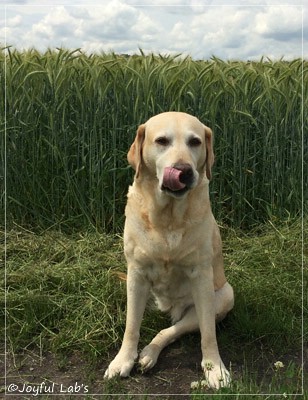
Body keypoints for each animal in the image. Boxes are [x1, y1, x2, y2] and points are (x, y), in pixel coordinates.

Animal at [104, 111, 235, 390]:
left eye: (195, 142)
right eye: (162, 141)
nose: (183, 171)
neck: (168, 218)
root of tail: (169, 308)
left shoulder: (201, 277)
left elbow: (208, 334)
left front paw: (215, 369)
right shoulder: (136, 275)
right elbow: (131, 326)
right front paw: (123, 360)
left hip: (224, 295)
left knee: (172, 330)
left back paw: (149, 354)